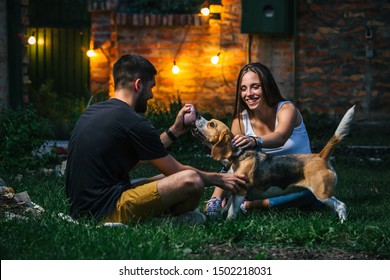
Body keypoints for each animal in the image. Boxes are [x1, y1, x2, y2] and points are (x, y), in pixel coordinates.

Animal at [193, 106, 356, 222]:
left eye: (212, 124)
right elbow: (227, 207)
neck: (237, 155)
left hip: (322, 193)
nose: (197, 115)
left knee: (341, 206)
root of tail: (321, 156)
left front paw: (228, 223)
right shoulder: (234, 190)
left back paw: (342, 223)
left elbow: (232, 211)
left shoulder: (240, 191)